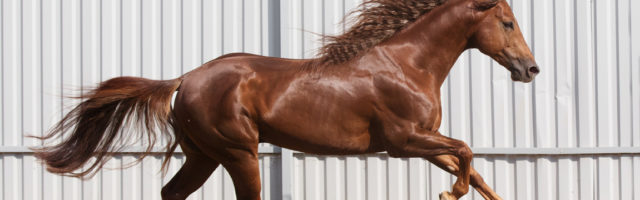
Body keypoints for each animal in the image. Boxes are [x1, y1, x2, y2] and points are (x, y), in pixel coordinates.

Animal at [35, 0, 536, 199]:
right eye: (507, 22)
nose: (531, 70)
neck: (408, 64)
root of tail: (186, 80)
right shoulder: (404, 141)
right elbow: (466, 152)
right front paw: (449, 193)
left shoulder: (423, 140)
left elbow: (474, 168)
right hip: (238, 152)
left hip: (204, 155)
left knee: (171, 192)